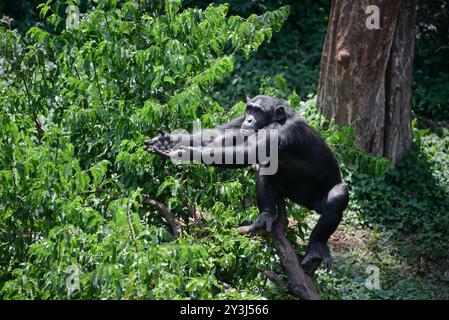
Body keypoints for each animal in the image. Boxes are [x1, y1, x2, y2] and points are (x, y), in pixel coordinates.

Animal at [145, 95, 348, 276]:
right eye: (249, 109)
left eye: (258, 111)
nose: (250, 119)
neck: (274, 119)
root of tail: (302, 202)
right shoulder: (241, 121)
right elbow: (219, 133)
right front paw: (168, 140)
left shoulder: (280, 131)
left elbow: (247, 152)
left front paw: (182, 152)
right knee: (268, 170)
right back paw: (266, 216)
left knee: (339, 194)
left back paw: (316, 247)